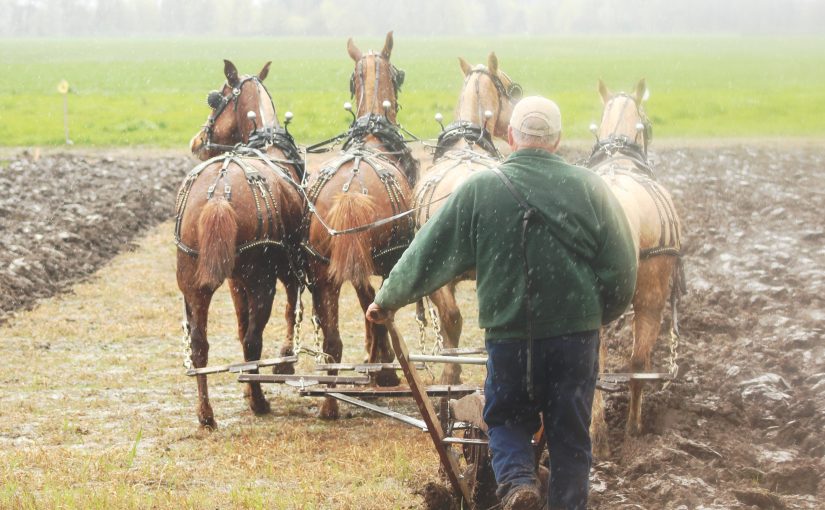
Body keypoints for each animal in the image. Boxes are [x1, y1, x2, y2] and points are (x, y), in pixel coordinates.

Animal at [177, 59, 306, 430]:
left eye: (215, 100)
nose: (196, 141)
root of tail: (220, 193)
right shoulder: (290, 269)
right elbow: (291, 309)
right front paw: (285, 360)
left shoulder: (237, 282)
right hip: (262, 280)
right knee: (252, 339)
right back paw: (258, 399)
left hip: (193, 283)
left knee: (200, 344)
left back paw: (206, 413)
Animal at [280, 29, 418, 418]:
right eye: (399, 76)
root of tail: (350, 195)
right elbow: (375, 309)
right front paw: (382, 368)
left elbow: (363, 303)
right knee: (375, 313)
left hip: (322, 273)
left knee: (332, 340)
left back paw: (330, 402)